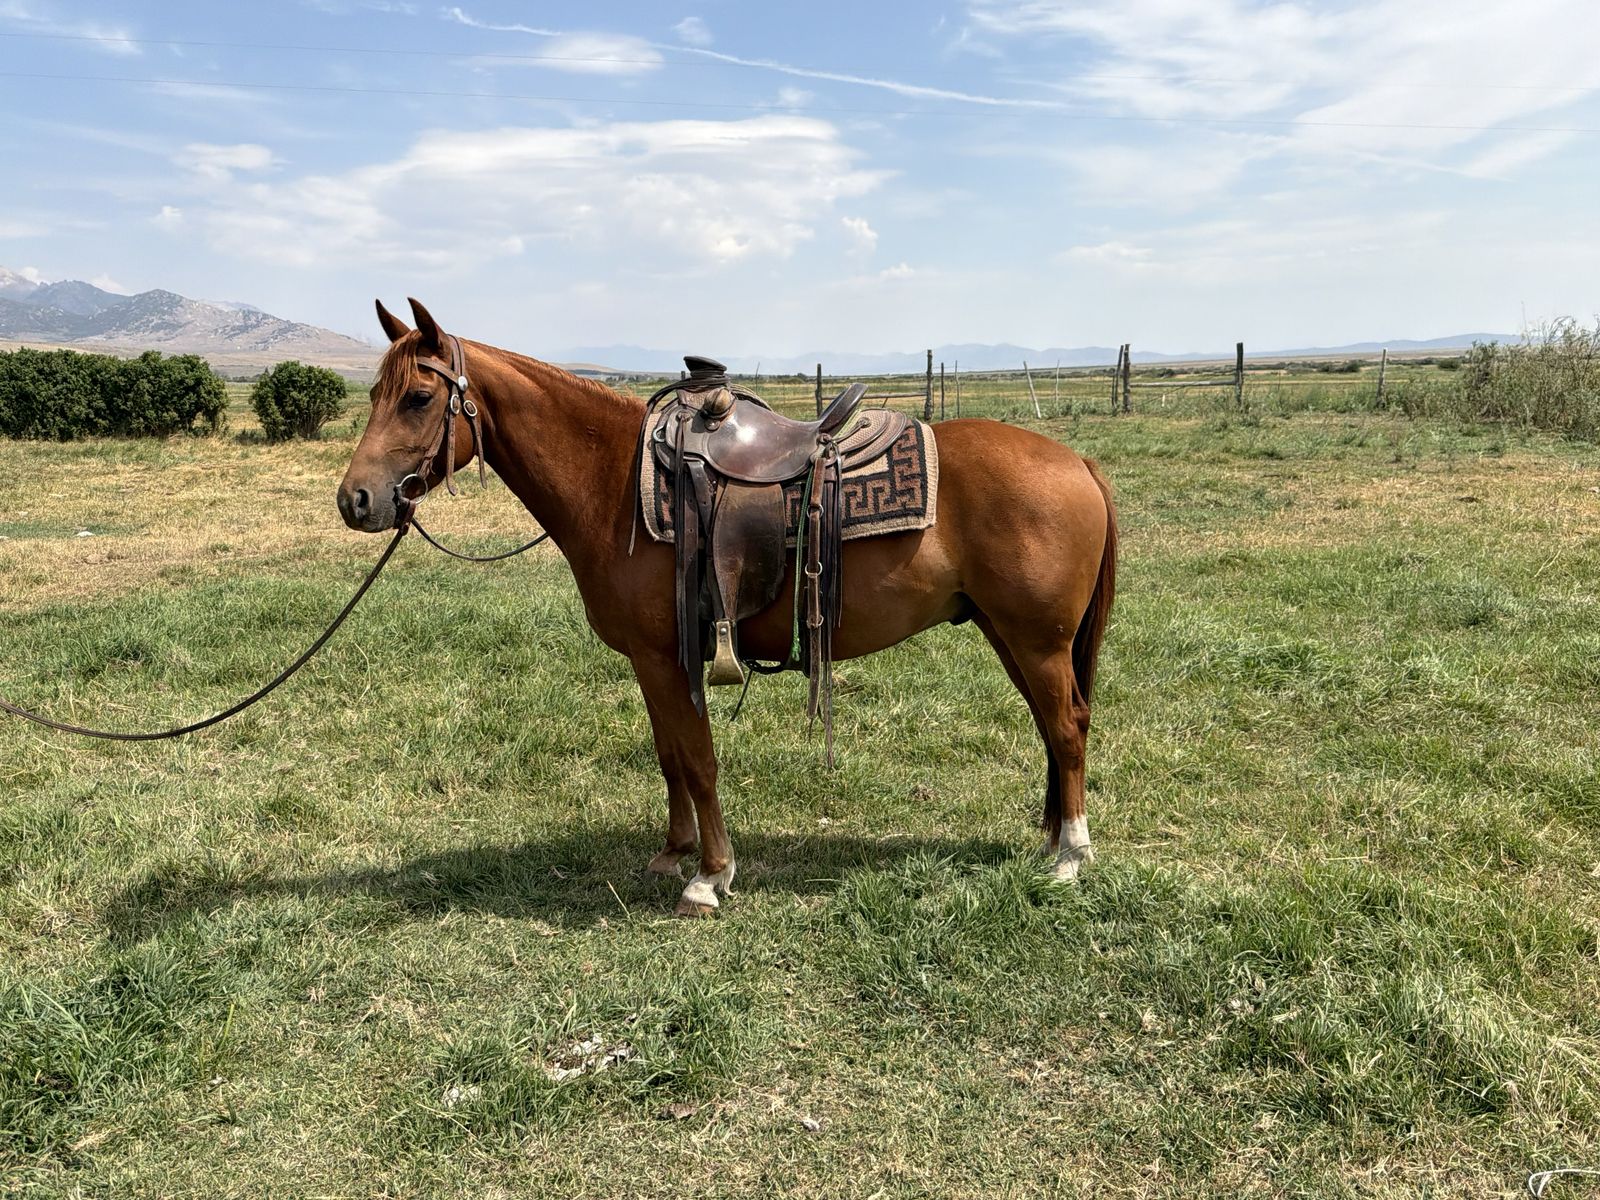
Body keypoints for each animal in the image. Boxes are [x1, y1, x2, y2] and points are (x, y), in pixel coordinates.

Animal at [336, 299, 1117, 916]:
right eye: (374, 392)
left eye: (416, 399)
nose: (356, 500)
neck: (614, 482)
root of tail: (1078, 462)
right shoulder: (652, 662)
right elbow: (670, 756)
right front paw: (674, 852)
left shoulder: (669, 657)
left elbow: (699, 759)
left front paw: (709, 878)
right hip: (1010, 636)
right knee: (1051, 728)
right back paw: (1050, 839)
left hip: (1037, 640)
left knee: (1068, 727)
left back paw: (1071, 858)